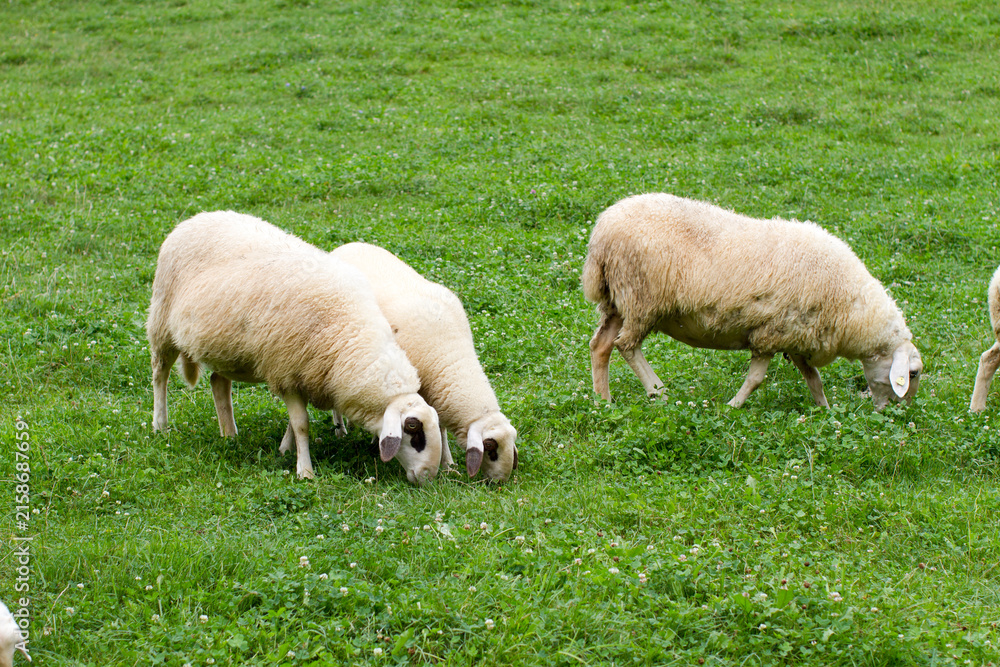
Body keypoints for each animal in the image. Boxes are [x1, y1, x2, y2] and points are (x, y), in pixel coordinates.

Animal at [146, 211, 442, 485]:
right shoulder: (286, 369)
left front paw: (284, 449)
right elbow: (301, 424)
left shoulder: (304, 370)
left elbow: (293, 422)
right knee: (160, 375)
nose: (428, 476)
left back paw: (229, 435)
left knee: (218, 382)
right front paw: (305, 470)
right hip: (162, 321)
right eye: (413, 431)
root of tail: (196, 218)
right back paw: (160, 425)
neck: (348, 331)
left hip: (227, 349)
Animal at [329, 242, 518, 482]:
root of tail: (349, 244)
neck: (450, 355)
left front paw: (448, 464)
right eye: (491, 447)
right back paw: (340, 431)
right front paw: (446, 461)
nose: (500, 482)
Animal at [582, 193, 923, 410]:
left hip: (618, 300)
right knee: (627, 346)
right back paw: (658, 391)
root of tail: (602, 230)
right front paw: (733, 405)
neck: (852, 310)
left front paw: (825, 410)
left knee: (601, 345)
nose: (897, 413)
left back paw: (604, 401)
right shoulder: (770, 334)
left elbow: (814, 379)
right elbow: (757, 379)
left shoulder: (795, 335)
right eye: (913, 374)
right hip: (642, 298)